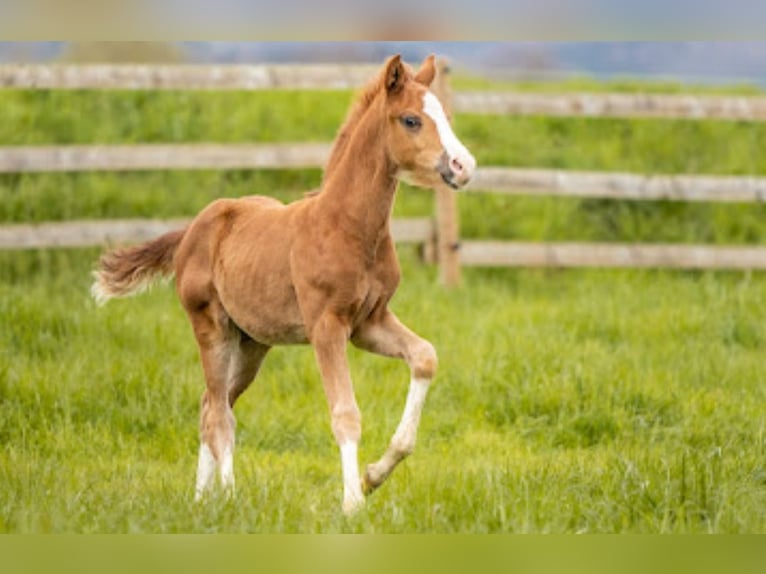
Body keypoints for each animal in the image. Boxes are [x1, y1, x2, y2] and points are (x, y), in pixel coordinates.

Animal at [90, 54, 474, 516]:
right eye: (412, 120)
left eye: (446, 116)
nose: (464, 166)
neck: (347, 226)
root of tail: (193, 228)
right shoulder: (327, 326)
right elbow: (345, 412)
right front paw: (352, 503)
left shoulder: (369, 322)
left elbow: (425, 357)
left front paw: (372, 477)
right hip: (212, 329)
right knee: (219, 415)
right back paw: (230, 497)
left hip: (253, 343)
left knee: (209, 405)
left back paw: (202, 499)